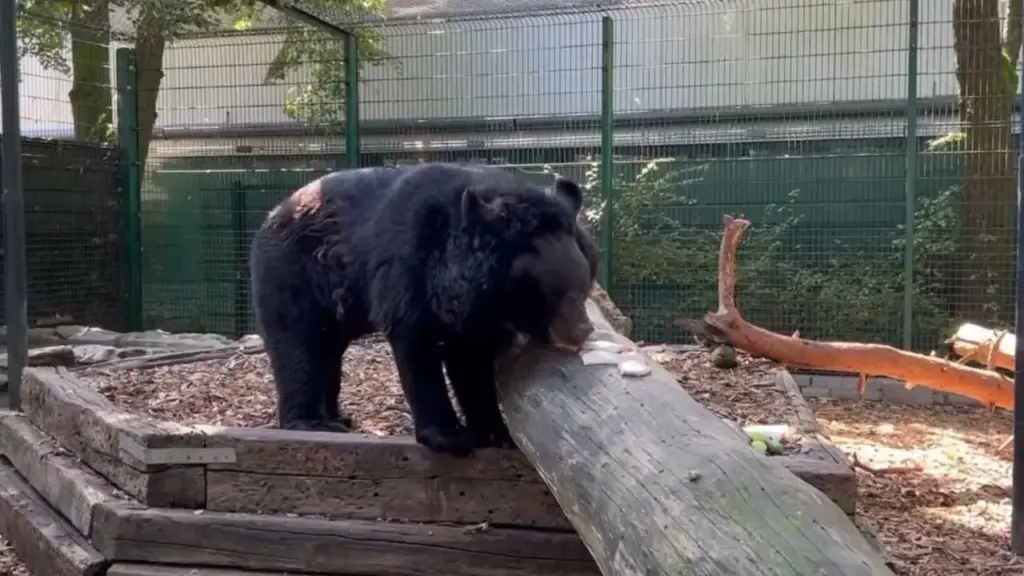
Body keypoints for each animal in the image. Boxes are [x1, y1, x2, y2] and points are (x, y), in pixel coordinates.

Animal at [250, 163, 599, 456]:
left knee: (327, 352)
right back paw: (313, 422)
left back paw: (338, 417)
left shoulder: (473, 314)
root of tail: (271, 215)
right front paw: (450, 438)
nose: (581, 331)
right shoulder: (408, 270)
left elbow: (471, 363)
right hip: (292, 276)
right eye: (550, 295)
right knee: (298, 346)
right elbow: (417, 347)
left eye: (581, 290)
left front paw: (496, 433)